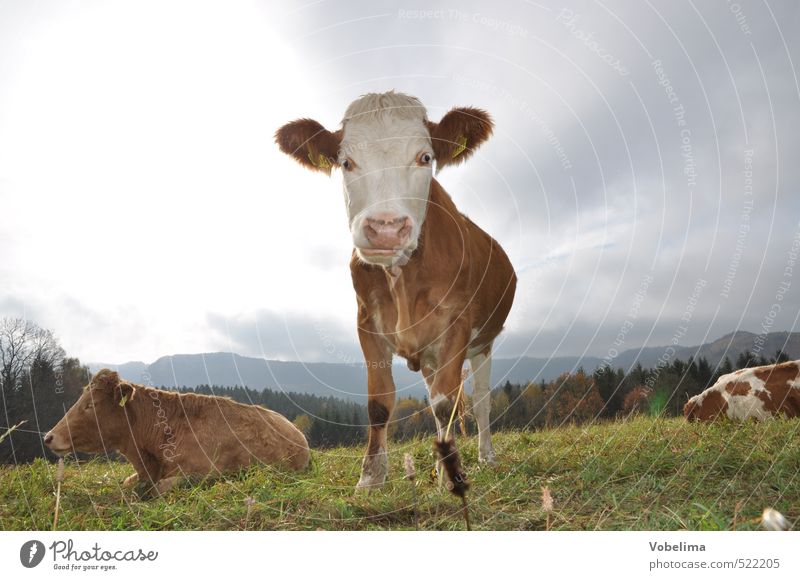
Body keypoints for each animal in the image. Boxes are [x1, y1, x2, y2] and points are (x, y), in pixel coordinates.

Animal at [276, 90, 520, 490]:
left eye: (425, 157)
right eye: (346, 162)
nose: (386, 229)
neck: (402, 276)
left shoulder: (457, 324)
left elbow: (445, 402)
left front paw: (450, 478)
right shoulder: (367, 324)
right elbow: (380, 403)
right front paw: (371, 477)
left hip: (483, 342)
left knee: (480, 400)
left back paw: (485, 456)